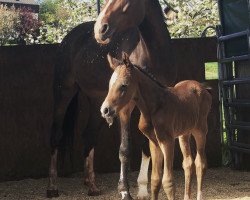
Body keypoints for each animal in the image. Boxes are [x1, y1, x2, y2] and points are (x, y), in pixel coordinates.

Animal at [101, 53, 211, 200]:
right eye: (109, 84)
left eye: (124, 85)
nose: (105, 110)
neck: (153, 107)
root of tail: (202, 87)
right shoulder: (154, 142)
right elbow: (155, 180)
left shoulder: (167, 140)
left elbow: (168, 181)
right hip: (184, 133)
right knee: (188, 163)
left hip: (200, 130)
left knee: (200, 163)